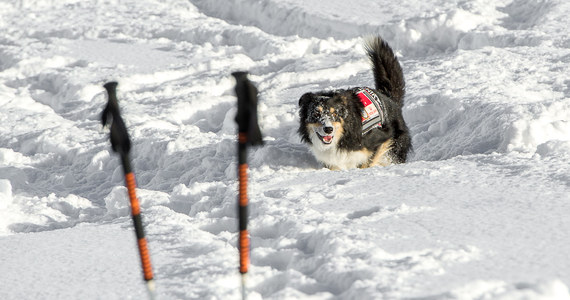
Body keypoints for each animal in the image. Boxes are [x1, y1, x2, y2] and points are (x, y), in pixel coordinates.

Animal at [298, 35, 408, 169]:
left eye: (335, 114)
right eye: (315, 114)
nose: (328, 129)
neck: (342, 135)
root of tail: (389, 97)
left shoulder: (381, 136)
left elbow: (367, 162)